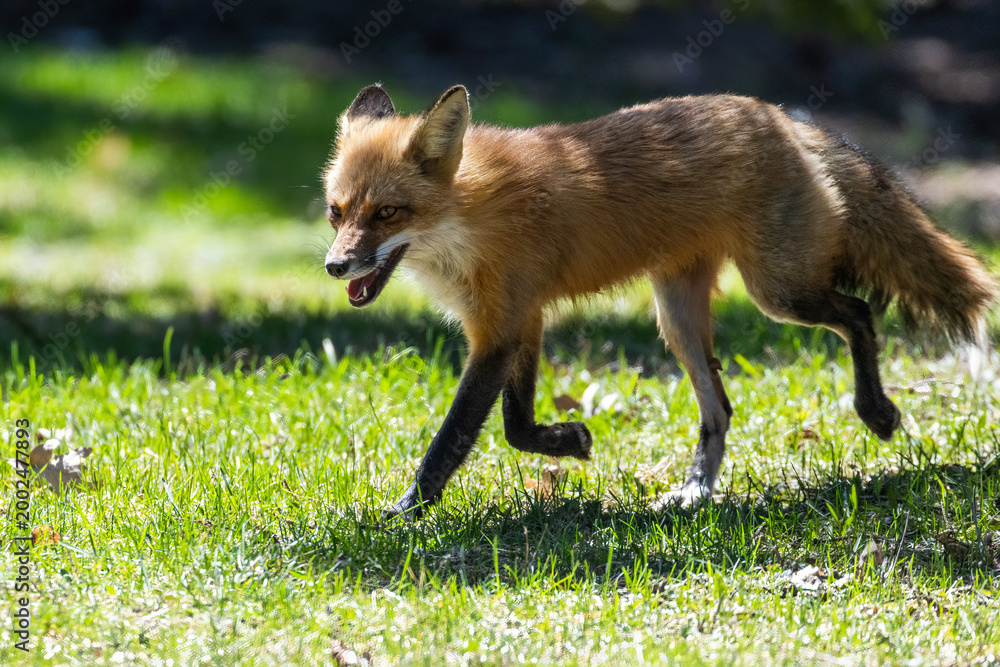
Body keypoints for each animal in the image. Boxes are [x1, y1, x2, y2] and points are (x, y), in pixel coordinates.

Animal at [322, 84, 997, 519]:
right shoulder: (518, 319)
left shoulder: (504, 324)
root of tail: (778, 115)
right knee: (721, 410)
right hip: (677, 318)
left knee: (859, 313)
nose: (334, 265)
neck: (469, 218)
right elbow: (515, 426)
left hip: (778, 292)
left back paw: (876, 412)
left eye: (387, 214)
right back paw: (695, 493)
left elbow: (454, 438)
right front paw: (570, 441)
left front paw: (406, 512)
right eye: (337, 211)